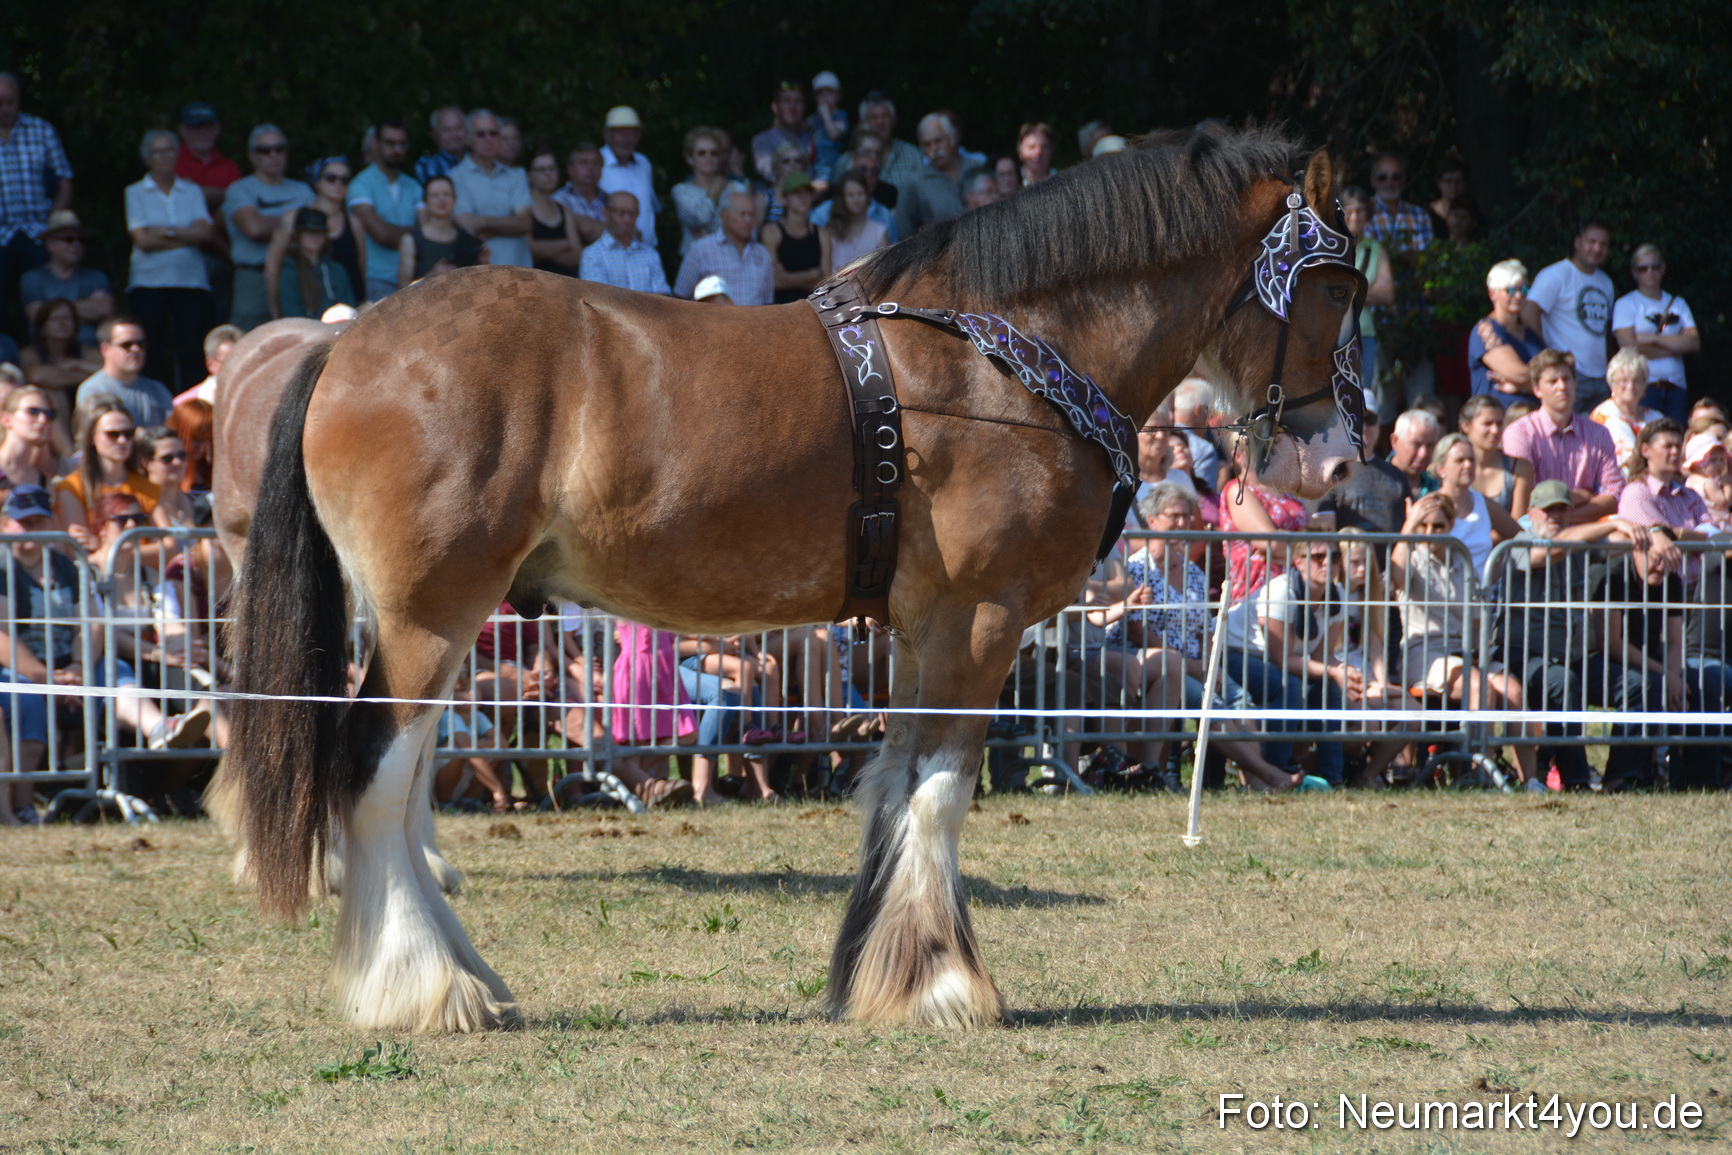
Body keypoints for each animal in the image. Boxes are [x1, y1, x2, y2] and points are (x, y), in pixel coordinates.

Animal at [223, 125, 1365, 1033]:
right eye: (1337, 285)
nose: (1335, 461)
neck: (1003, 361)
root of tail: (347, 346)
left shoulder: (922, 625)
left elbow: (895, 786)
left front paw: (878, 974)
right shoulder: (981, 619)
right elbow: (942, 791)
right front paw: (943, 985)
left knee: (407, 780)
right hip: (430, 612)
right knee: (375, 773)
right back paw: (426, 988)